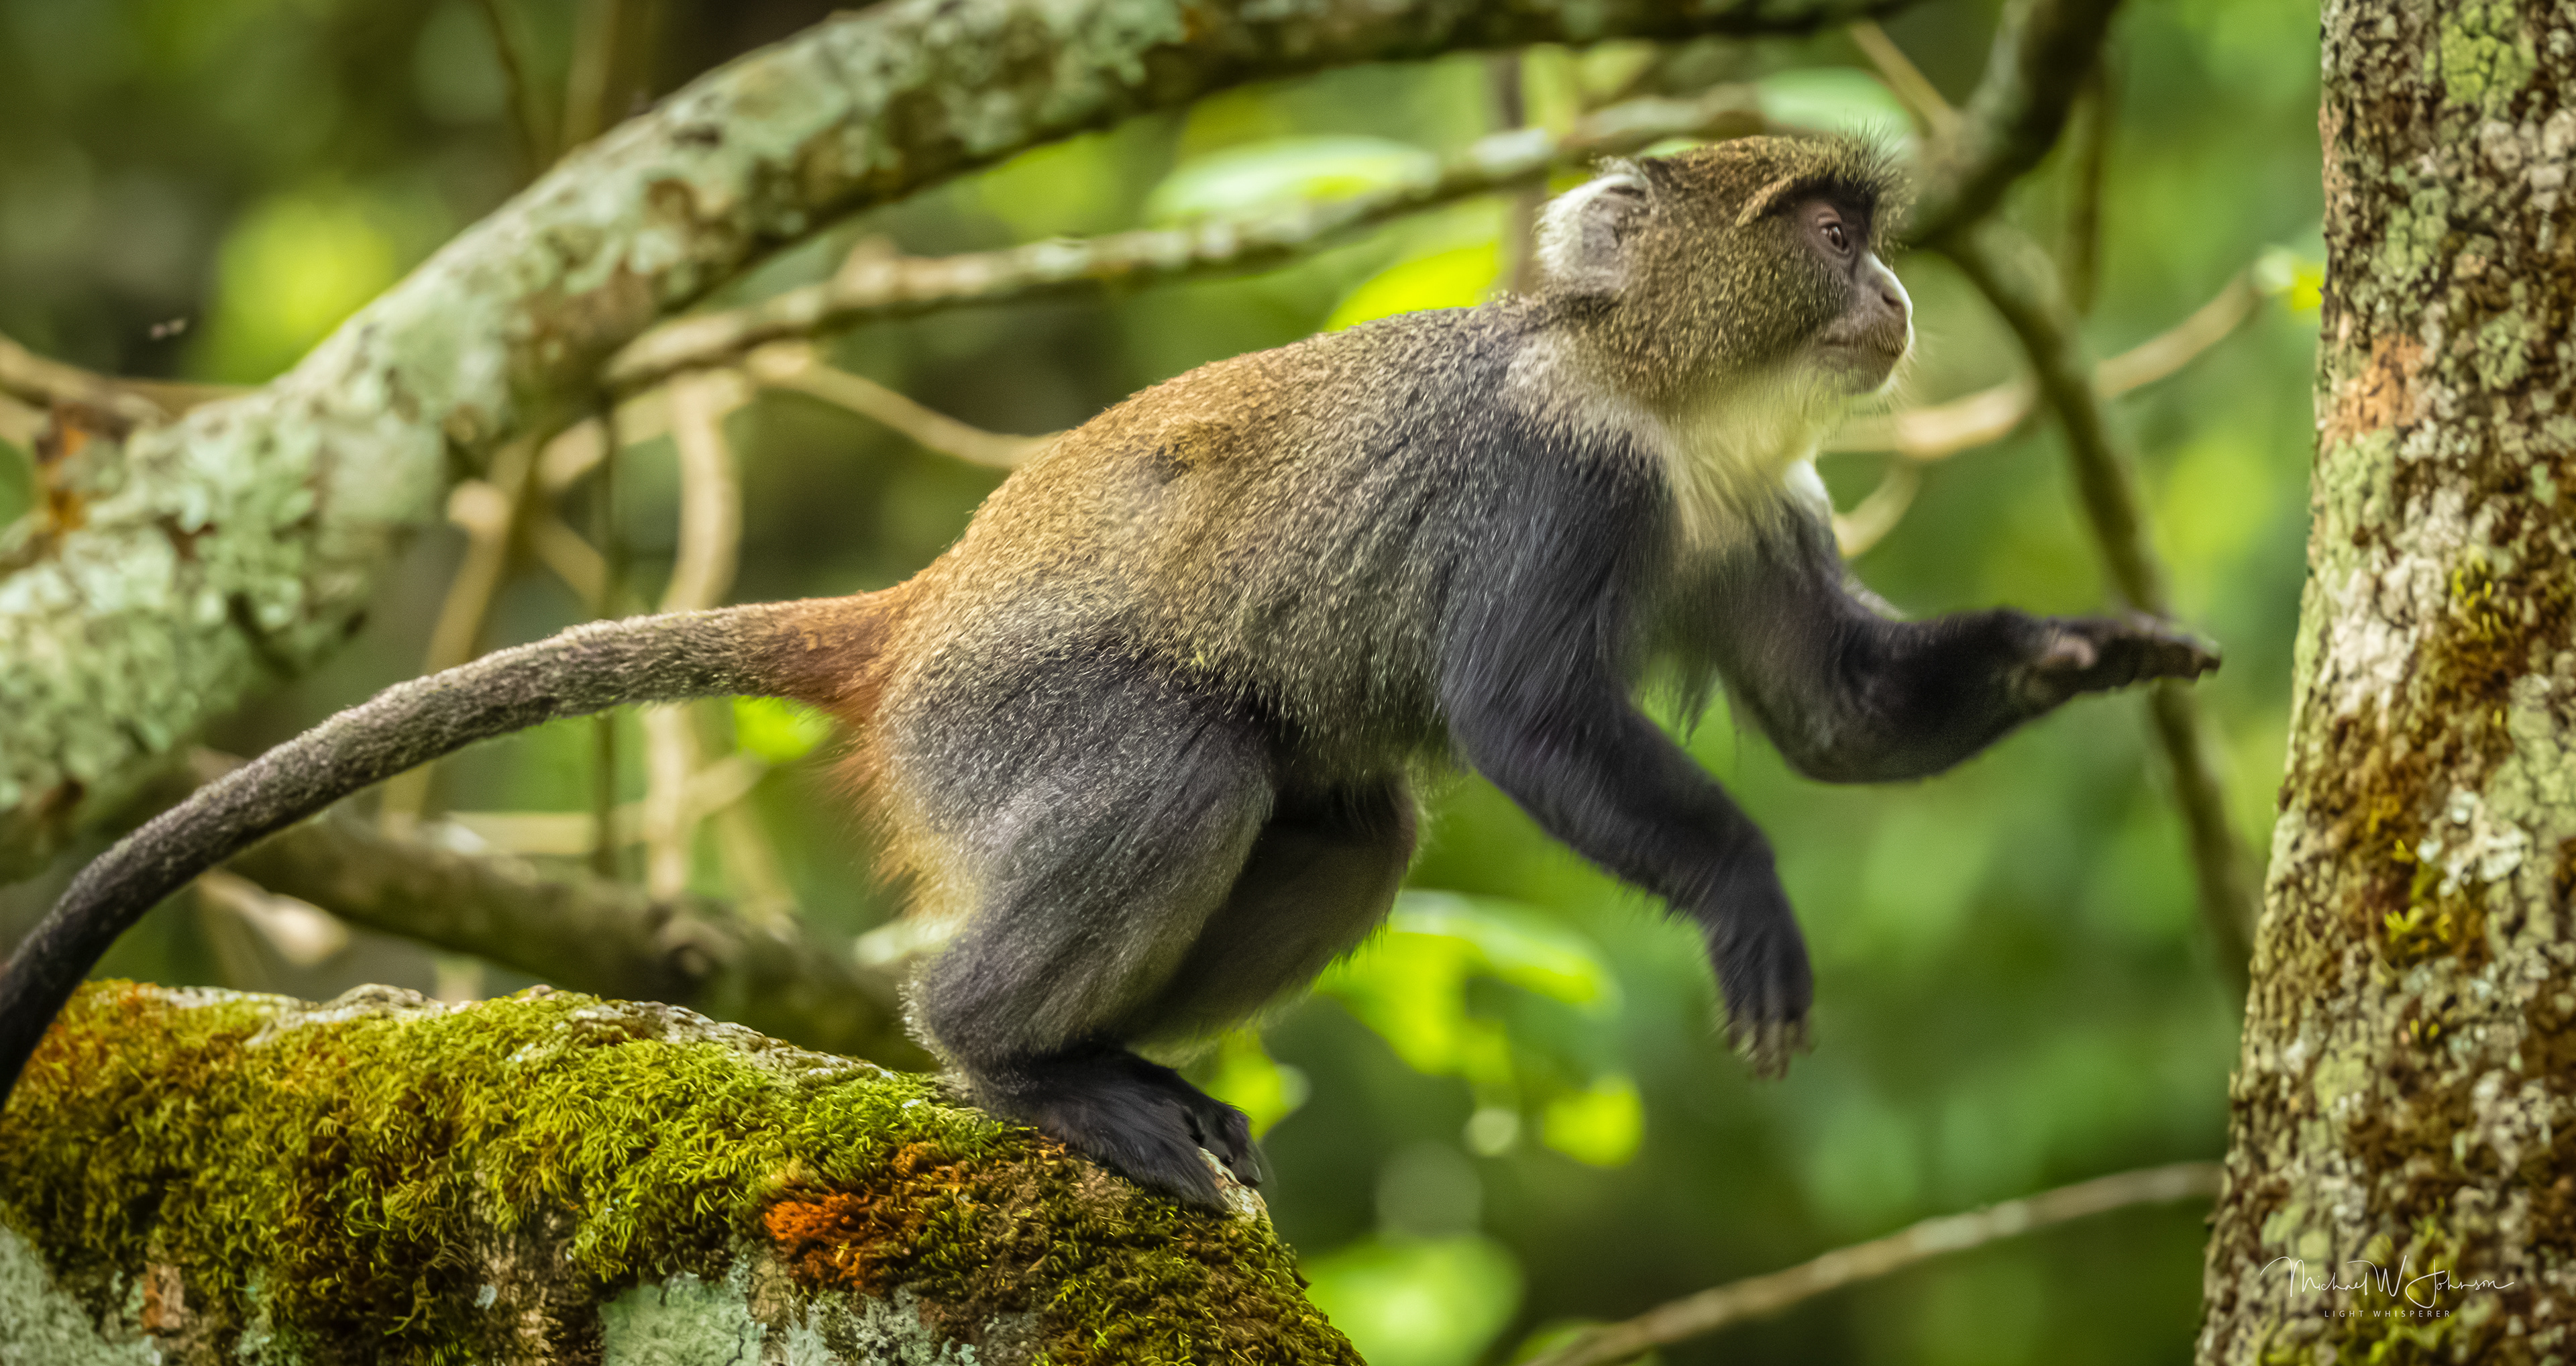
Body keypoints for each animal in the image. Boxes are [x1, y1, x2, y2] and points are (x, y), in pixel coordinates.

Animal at [0, 136, 2216, 1212]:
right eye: (1820, 225)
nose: (1890, 285)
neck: (1665, 395)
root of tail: (915, 615)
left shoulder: (1755, 502)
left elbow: (1840, 721)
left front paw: (2107, 645)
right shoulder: (1557, 488)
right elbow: (1529, 725)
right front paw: (1748, 906)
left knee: (1347, 828)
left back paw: (1118, 1067)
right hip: (1017, 727)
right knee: (1186, 785)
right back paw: (1006, 1056)